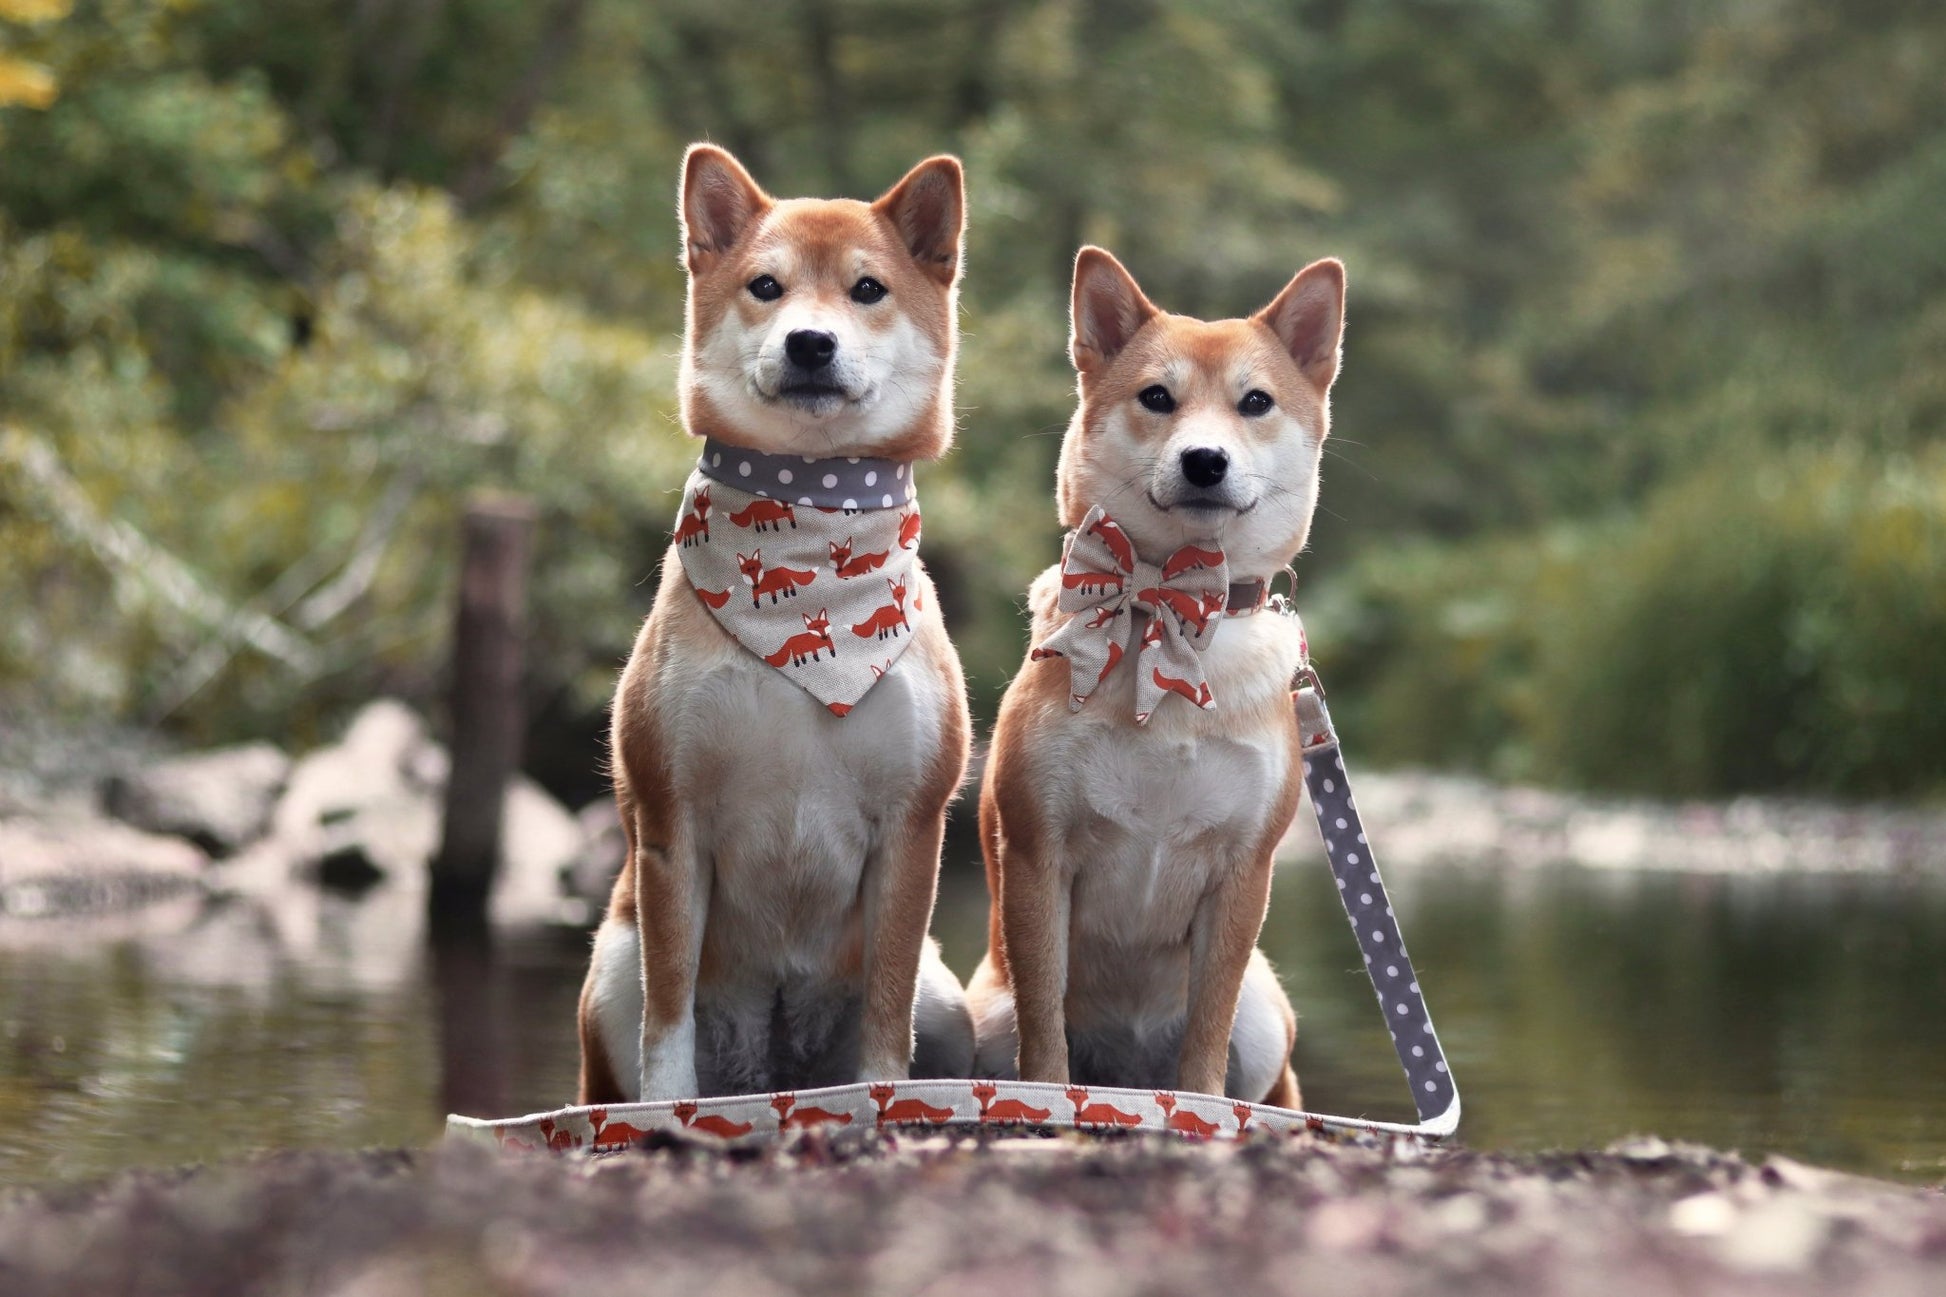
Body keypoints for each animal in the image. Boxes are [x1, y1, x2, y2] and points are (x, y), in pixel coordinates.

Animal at [577, 145, 976, 1107]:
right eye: (766, 285)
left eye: (867, 289)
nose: (809, 342)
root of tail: (774, 1065)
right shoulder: (673, 820)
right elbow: (668, 1016)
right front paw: (667, 1111)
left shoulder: (912, 829)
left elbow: (886, 1014)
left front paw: (882, 1098)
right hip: (610, 962)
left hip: (948, 998)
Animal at [968, 246, 1349, 1108]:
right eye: (1156, 397)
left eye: (1254, 402)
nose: (1204, 459)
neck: (1170, 603)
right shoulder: (1038, 851)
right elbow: (1045, 1025)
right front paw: (1050, 1099)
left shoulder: (1242, 871)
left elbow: (1207, 1031)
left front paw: (1203, 1110)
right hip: (980, 1014)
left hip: (1266, 1015)